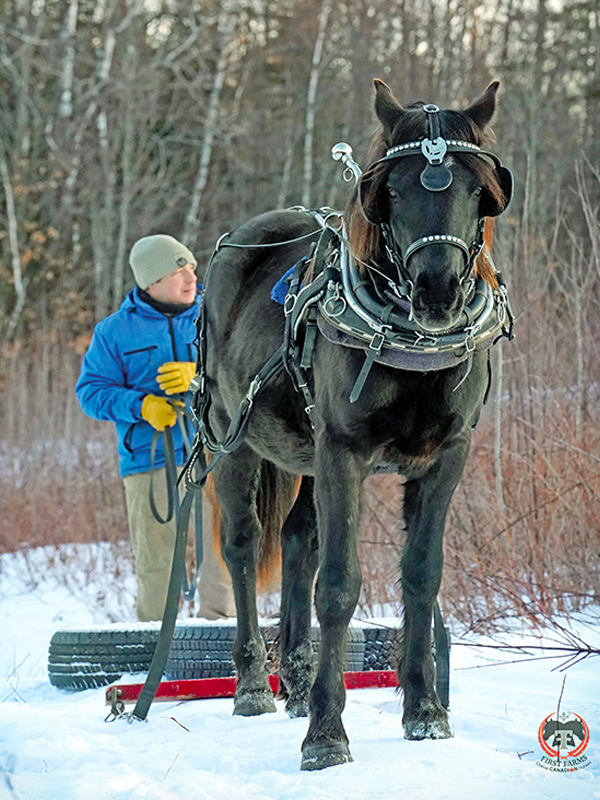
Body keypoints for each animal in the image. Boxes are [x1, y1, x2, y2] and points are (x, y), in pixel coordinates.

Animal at [196, 79, 513, 770]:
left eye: (480, 190)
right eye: (389, 191)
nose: (438, 290)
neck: (410, 342)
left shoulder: (447, 455)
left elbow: (421, 575)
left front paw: (425, 711)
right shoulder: (343, 452)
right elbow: (339, 585)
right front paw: (325, 734)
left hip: (307, 453)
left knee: (297, 540)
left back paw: (294, 680)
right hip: (234, 438)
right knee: (242, 544)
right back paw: (254, 685)